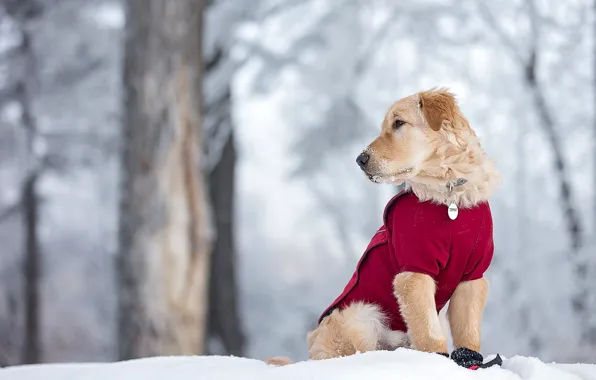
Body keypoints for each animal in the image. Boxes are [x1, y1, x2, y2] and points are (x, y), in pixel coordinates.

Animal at [266, 89, 498, 368]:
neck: (450, 197)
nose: (360, 159)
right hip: (362, 316)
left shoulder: (472, 275)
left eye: (398, 123)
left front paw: (469, 362)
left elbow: (468, 332)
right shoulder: (414, 270)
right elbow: (429, 334)